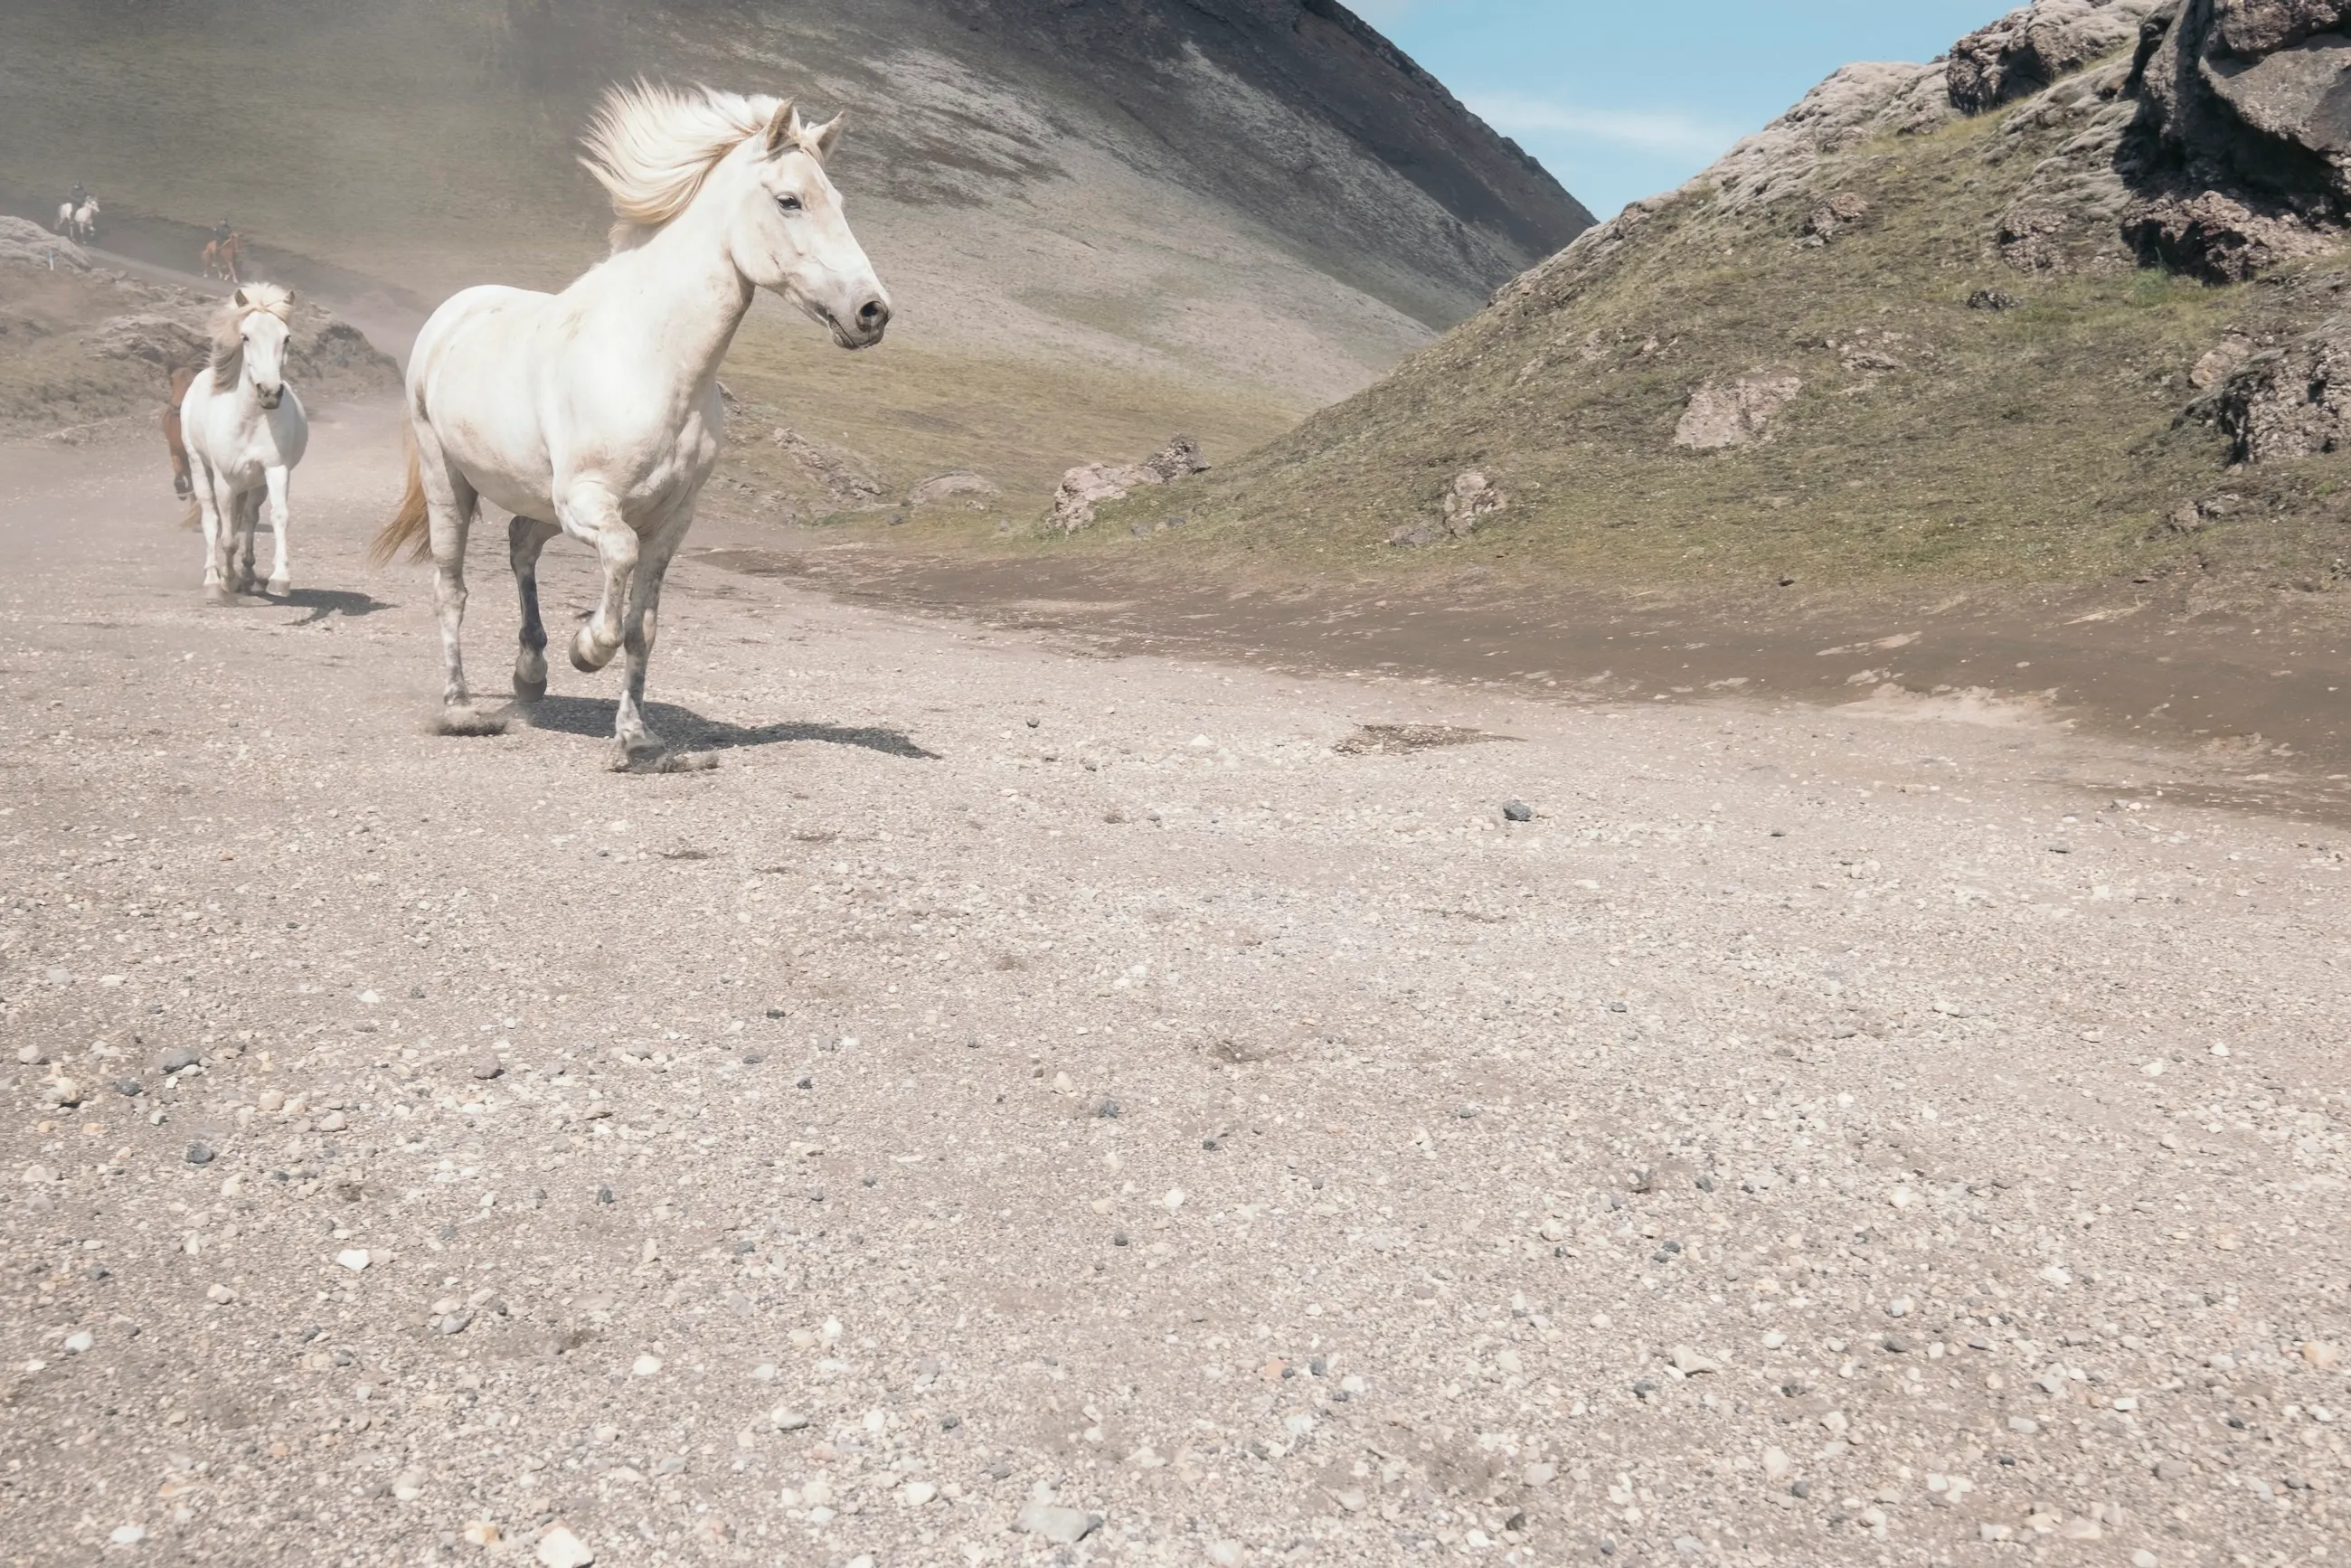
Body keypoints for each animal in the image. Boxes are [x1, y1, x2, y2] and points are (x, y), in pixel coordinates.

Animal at [181, 285, 309, 601]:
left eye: (286, 337)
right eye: (245, 336)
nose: (270, 393)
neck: (250, 420)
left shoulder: (276, 470)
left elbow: (278, 516)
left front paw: (279, 580)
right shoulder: (225, 480)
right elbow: (227, 536)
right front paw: (227, 581)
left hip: (256, 482)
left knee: (249, 517)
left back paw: (248, 573)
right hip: (199, 468)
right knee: (211, 520)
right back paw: (214, 581)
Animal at [367, 81, 890, 765]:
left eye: (841, 202)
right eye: (789, 200)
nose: (873, 311)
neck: (653, 360)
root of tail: (456, 309)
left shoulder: (671, 521)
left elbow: (644, 627)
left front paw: (637, 738)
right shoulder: (590, 502)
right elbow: (618, 562)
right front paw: (586, 648)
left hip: (536, 499)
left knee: (520, 545)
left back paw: (529, 676)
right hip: (447, 482)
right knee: (450, 588)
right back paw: (461, 708)